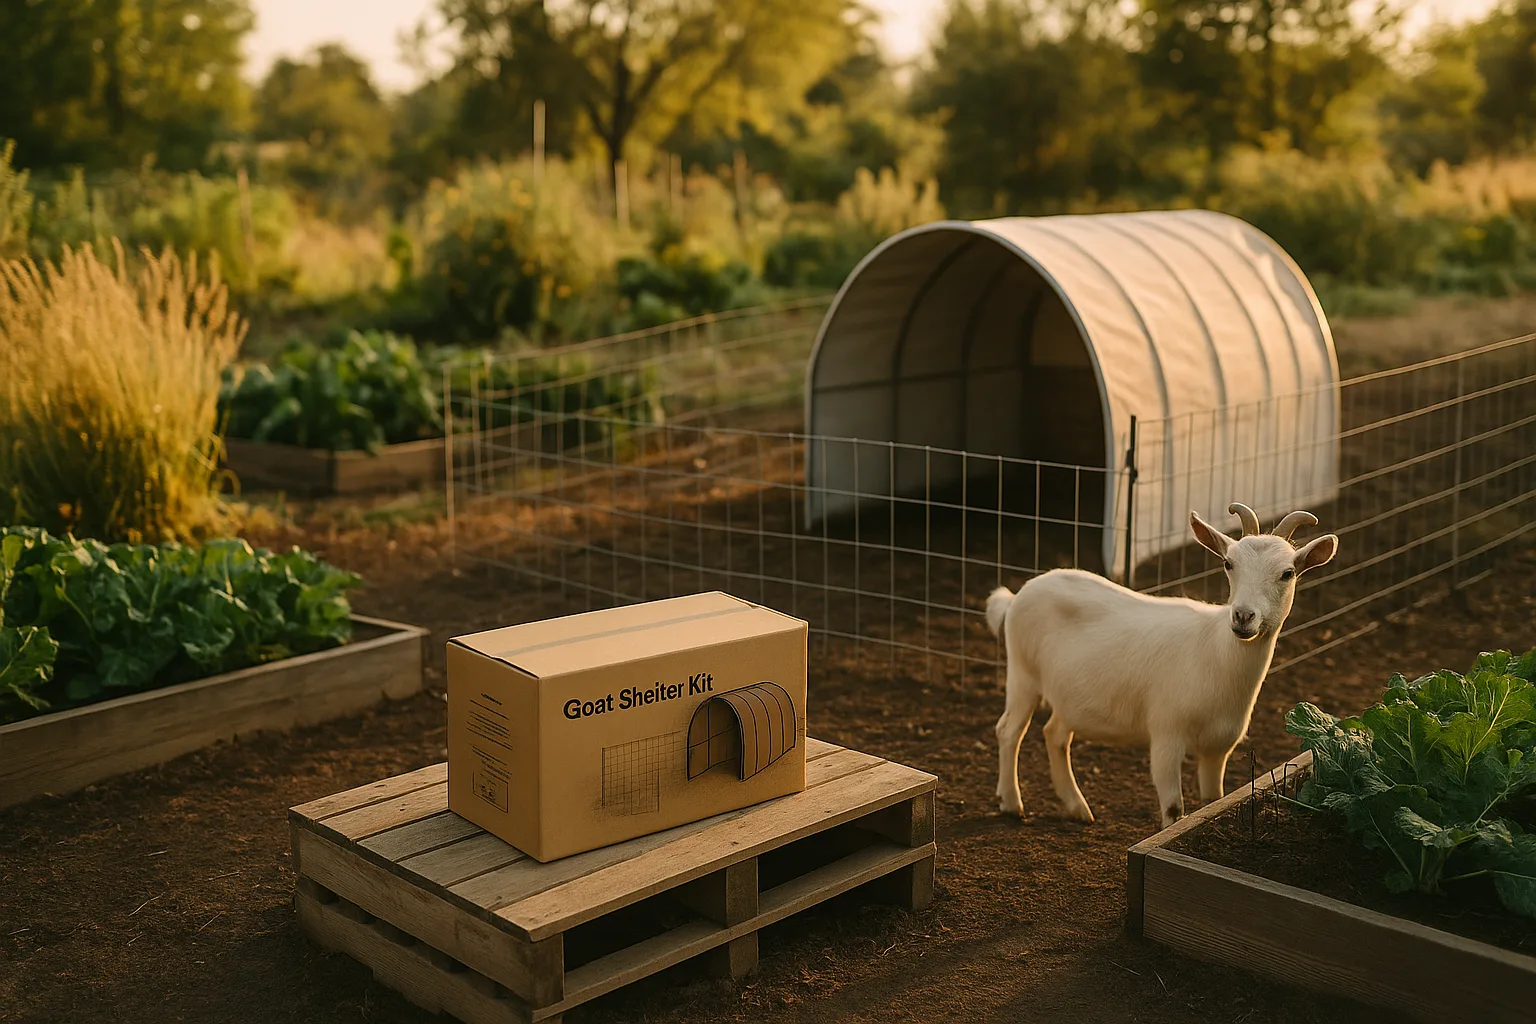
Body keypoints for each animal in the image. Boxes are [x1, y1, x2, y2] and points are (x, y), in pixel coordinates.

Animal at [986, 502, 1337, 827]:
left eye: (1287, 573)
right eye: (1228, 563)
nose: (1242, 616)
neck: (1215, 653)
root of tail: (1016, 597)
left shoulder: (1218, 748)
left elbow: (1213, 801)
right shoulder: (1167, 735)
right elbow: (1173, 810)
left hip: (1069, 693)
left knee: (1055, 734)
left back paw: (1077, 808)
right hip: (1022, 674)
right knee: (1009, 730)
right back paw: (1012, 804)